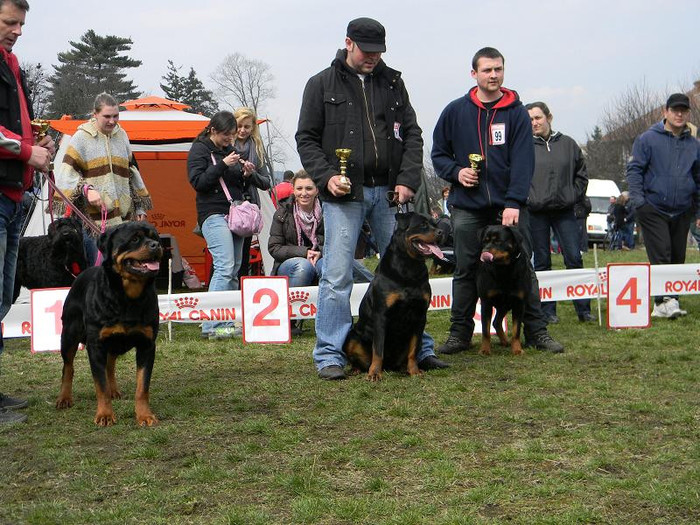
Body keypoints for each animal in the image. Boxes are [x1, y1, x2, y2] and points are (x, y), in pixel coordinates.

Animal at [55, 221, 163, 426]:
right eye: (135, 239)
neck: (128, 296)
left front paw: (144, 415)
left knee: (110, 365)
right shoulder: (96, 345)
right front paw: (105, 415)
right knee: (68, 367)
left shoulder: (147, 345)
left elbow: (142, 386)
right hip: (69, 335)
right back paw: (64, 398)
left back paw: (114, 390)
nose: (156, 246)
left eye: (155, 237)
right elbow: (100, 386)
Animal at [344, 212, 442, 380]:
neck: (410, 266)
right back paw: (357, 369)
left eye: (435, 224)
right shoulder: (381, 315)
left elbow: (414, 350)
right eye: (423, 224)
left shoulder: (420, 316)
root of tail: (389, 366)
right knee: (356, 360)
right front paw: (374, 373)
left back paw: (404, 368)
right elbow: (378, 349)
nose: (441, 232)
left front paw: (414, 371)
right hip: (352, 336)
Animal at [476, 223, 532, 354]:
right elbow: (485, 331)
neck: (504, 269)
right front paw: (485, 350)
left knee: (496, 321)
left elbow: (516, 330)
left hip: (505, 305)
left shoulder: (519, 303)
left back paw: (506, 341)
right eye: (485, 241)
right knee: (495, 322)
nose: (484, 251)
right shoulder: (486, 302)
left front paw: (517, 349)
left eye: (498, 241)